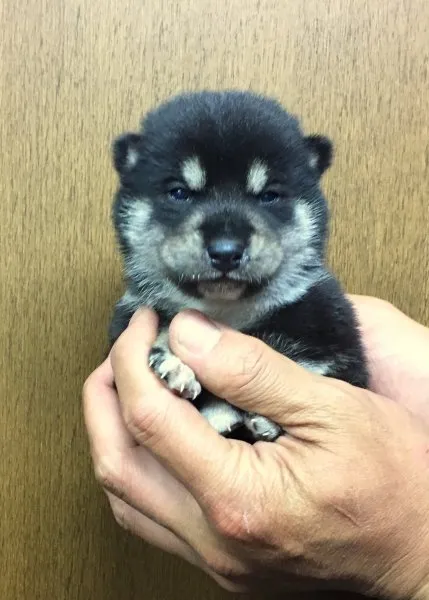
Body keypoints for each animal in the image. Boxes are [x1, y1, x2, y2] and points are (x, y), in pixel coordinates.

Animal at [108, 91, 368, 442]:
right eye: (179, 193)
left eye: (269, 196)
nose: (226, 252)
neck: (226, 312)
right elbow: (164, 326)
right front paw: (174, 362)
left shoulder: (339, 344)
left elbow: (316, 366)